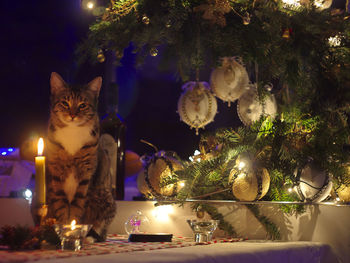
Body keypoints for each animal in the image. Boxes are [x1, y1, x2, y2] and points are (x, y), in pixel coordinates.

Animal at [46, 72, 116, 241]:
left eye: (83, 105)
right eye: (65, 103)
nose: (72, 115)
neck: (72, 131)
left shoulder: (86, 175)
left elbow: (78, 207)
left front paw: (74, 231)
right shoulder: (56, 174)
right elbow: (62, 205)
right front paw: (64, 230)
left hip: (105, 198)